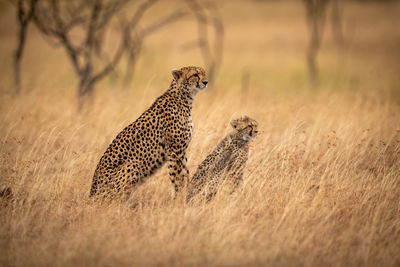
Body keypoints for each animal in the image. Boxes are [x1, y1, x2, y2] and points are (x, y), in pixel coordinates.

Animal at [90, 66, 209, 198]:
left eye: (204, 73)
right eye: (195, 75)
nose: (206, 82)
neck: (184, 97)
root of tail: (91, 194)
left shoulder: (181, 151)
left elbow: (185, 173)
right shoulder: (174, 151)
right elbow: (177, 176)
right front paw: (180, 197)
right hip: (134, 164)